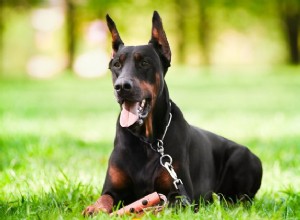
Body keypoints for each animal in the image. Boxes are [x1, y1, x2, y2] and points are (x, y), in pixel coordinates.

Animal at [82, 11, 262, 216]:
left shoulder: (179, 196)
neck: (148, 142)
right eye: (116, 65)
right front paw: (94, 208)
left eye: (144, 62)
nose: (121, 86)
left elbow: (157, 208)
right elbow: (104, 199)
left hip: (244, 158)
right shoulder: (112, 189)